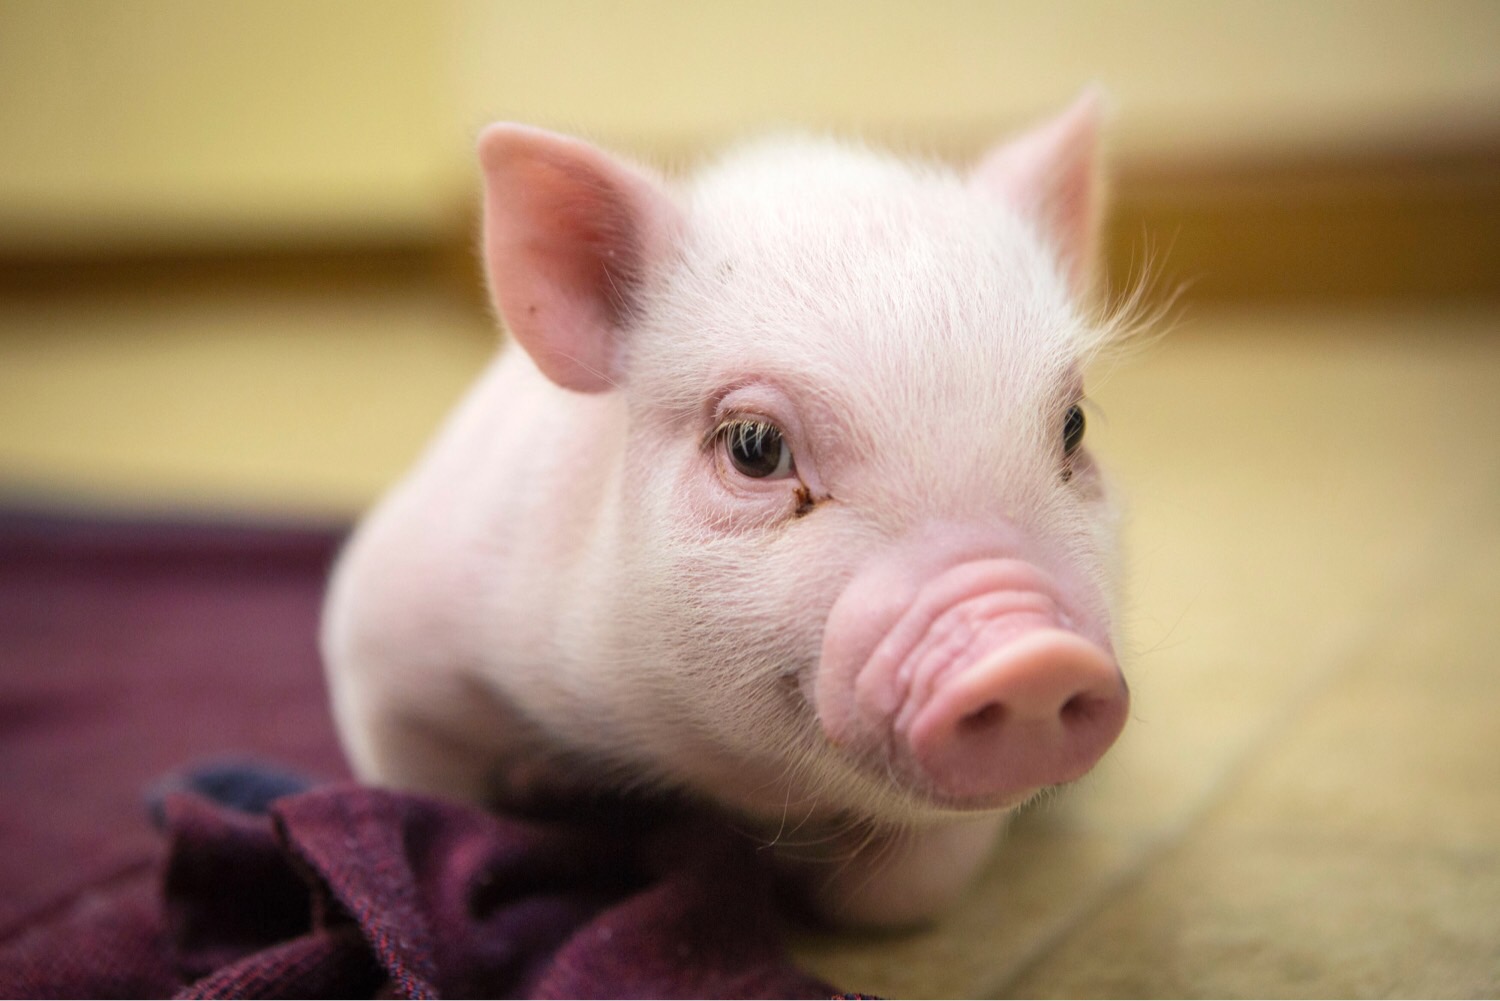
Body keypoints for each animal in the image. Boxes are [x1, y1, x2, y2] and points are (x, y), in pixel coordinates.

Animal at [321, 90, 1130, 928]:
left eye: (1073, 426)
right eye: (754, 446)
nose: (1035, 656)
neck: (709, 775)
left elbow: (905, 890)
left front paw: (797, 885)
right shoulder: (384, 633)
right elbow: (426, 790)